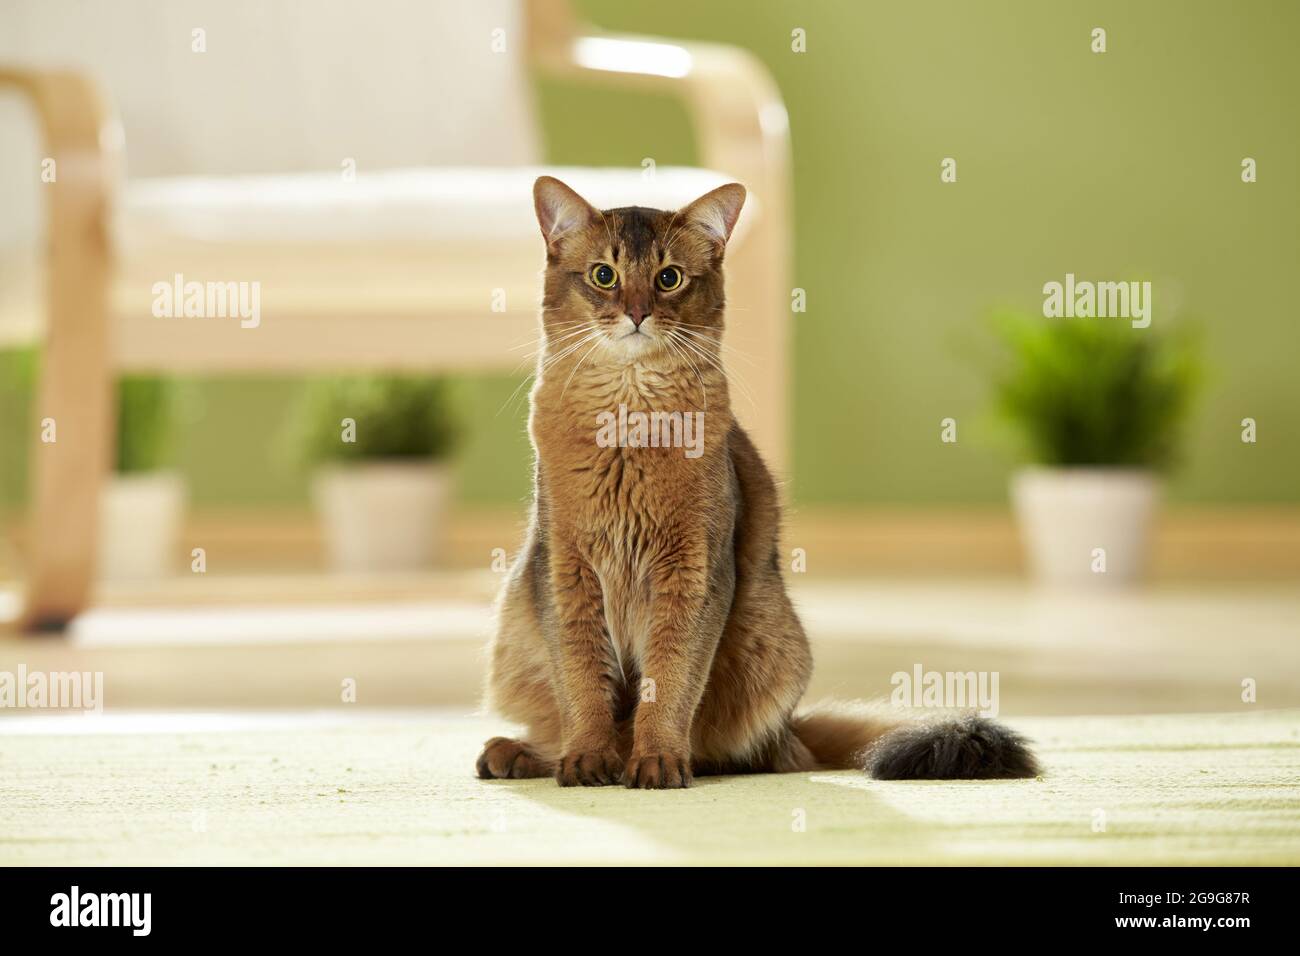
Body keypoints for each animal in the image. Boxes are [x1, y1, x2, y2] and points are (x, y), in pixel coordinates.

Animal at [475, 175, 1034, 790]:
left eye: (668, 278)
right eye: (604, 275)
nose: (638, 313)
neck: (630, 415)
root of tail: (791, 729)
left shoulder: (696, 569)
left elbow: (670, 678)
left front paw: (656, 760)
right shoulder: (564, 567)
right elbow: (580, 677)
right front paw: (587, 758)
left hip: (770, 634)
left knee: (744, 752)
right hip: (514, 626)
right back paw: (523, 753)